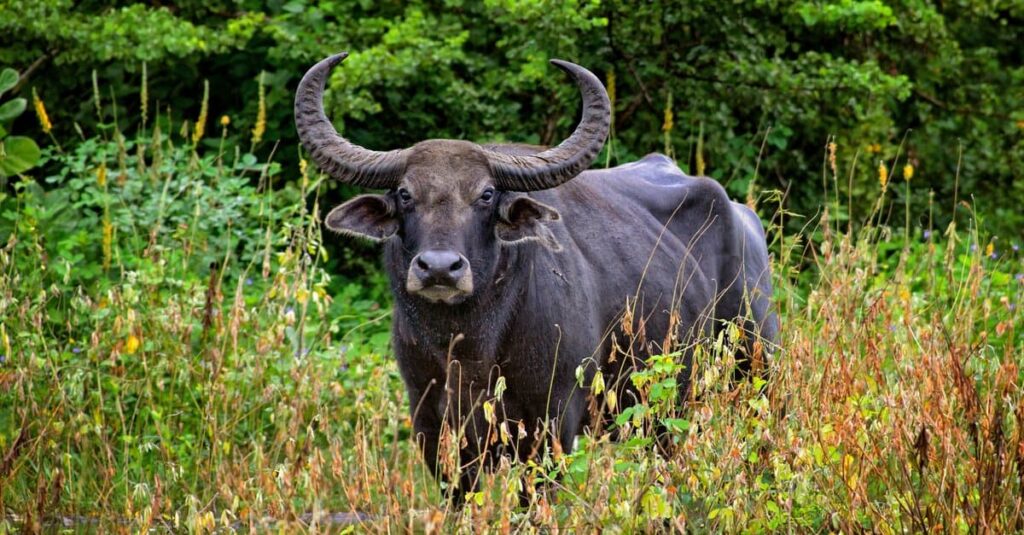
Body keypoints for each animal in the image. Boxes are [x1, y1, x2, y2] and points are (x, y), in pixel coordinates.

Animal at [294, 52, 774, 498]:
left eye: (487, 194)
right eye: (405, 194)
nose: (440, 268)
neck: (470, 346)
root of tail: (743, 218)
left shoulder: (551, 425)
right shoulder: (433, 428)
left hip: (756, 370)